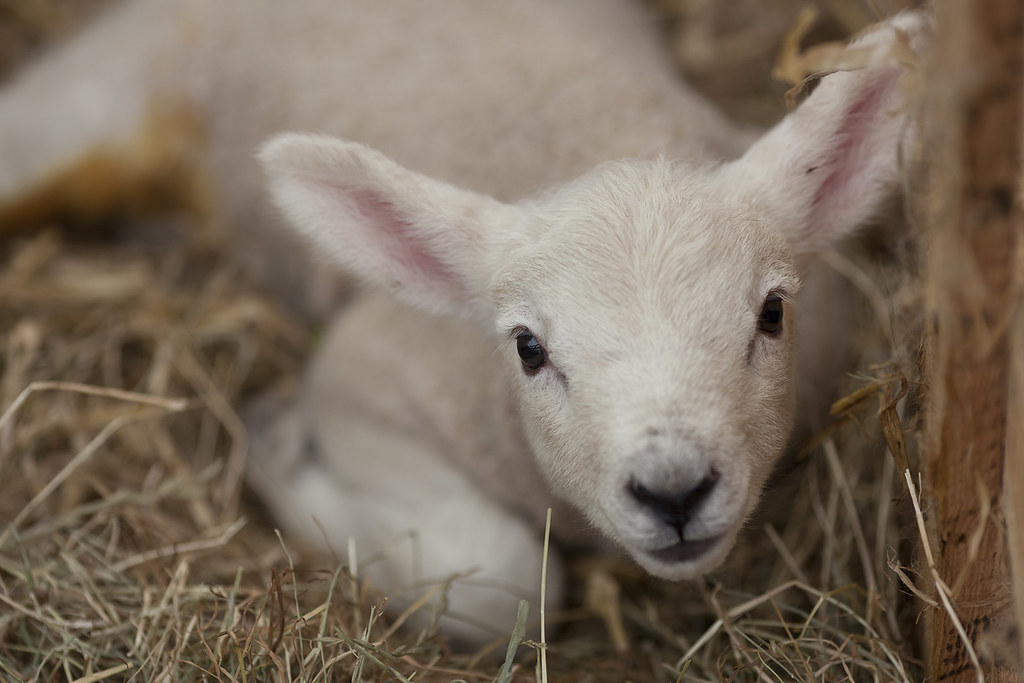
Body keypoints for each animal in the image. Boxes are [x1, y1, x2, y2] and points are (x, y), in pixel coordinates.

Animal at [0, 0, 925, 647]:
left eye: (772, 312)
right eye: (528, 348)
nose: (673, 490)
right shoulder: (365, 374)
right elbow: (503, 583)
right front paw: (281, 450)